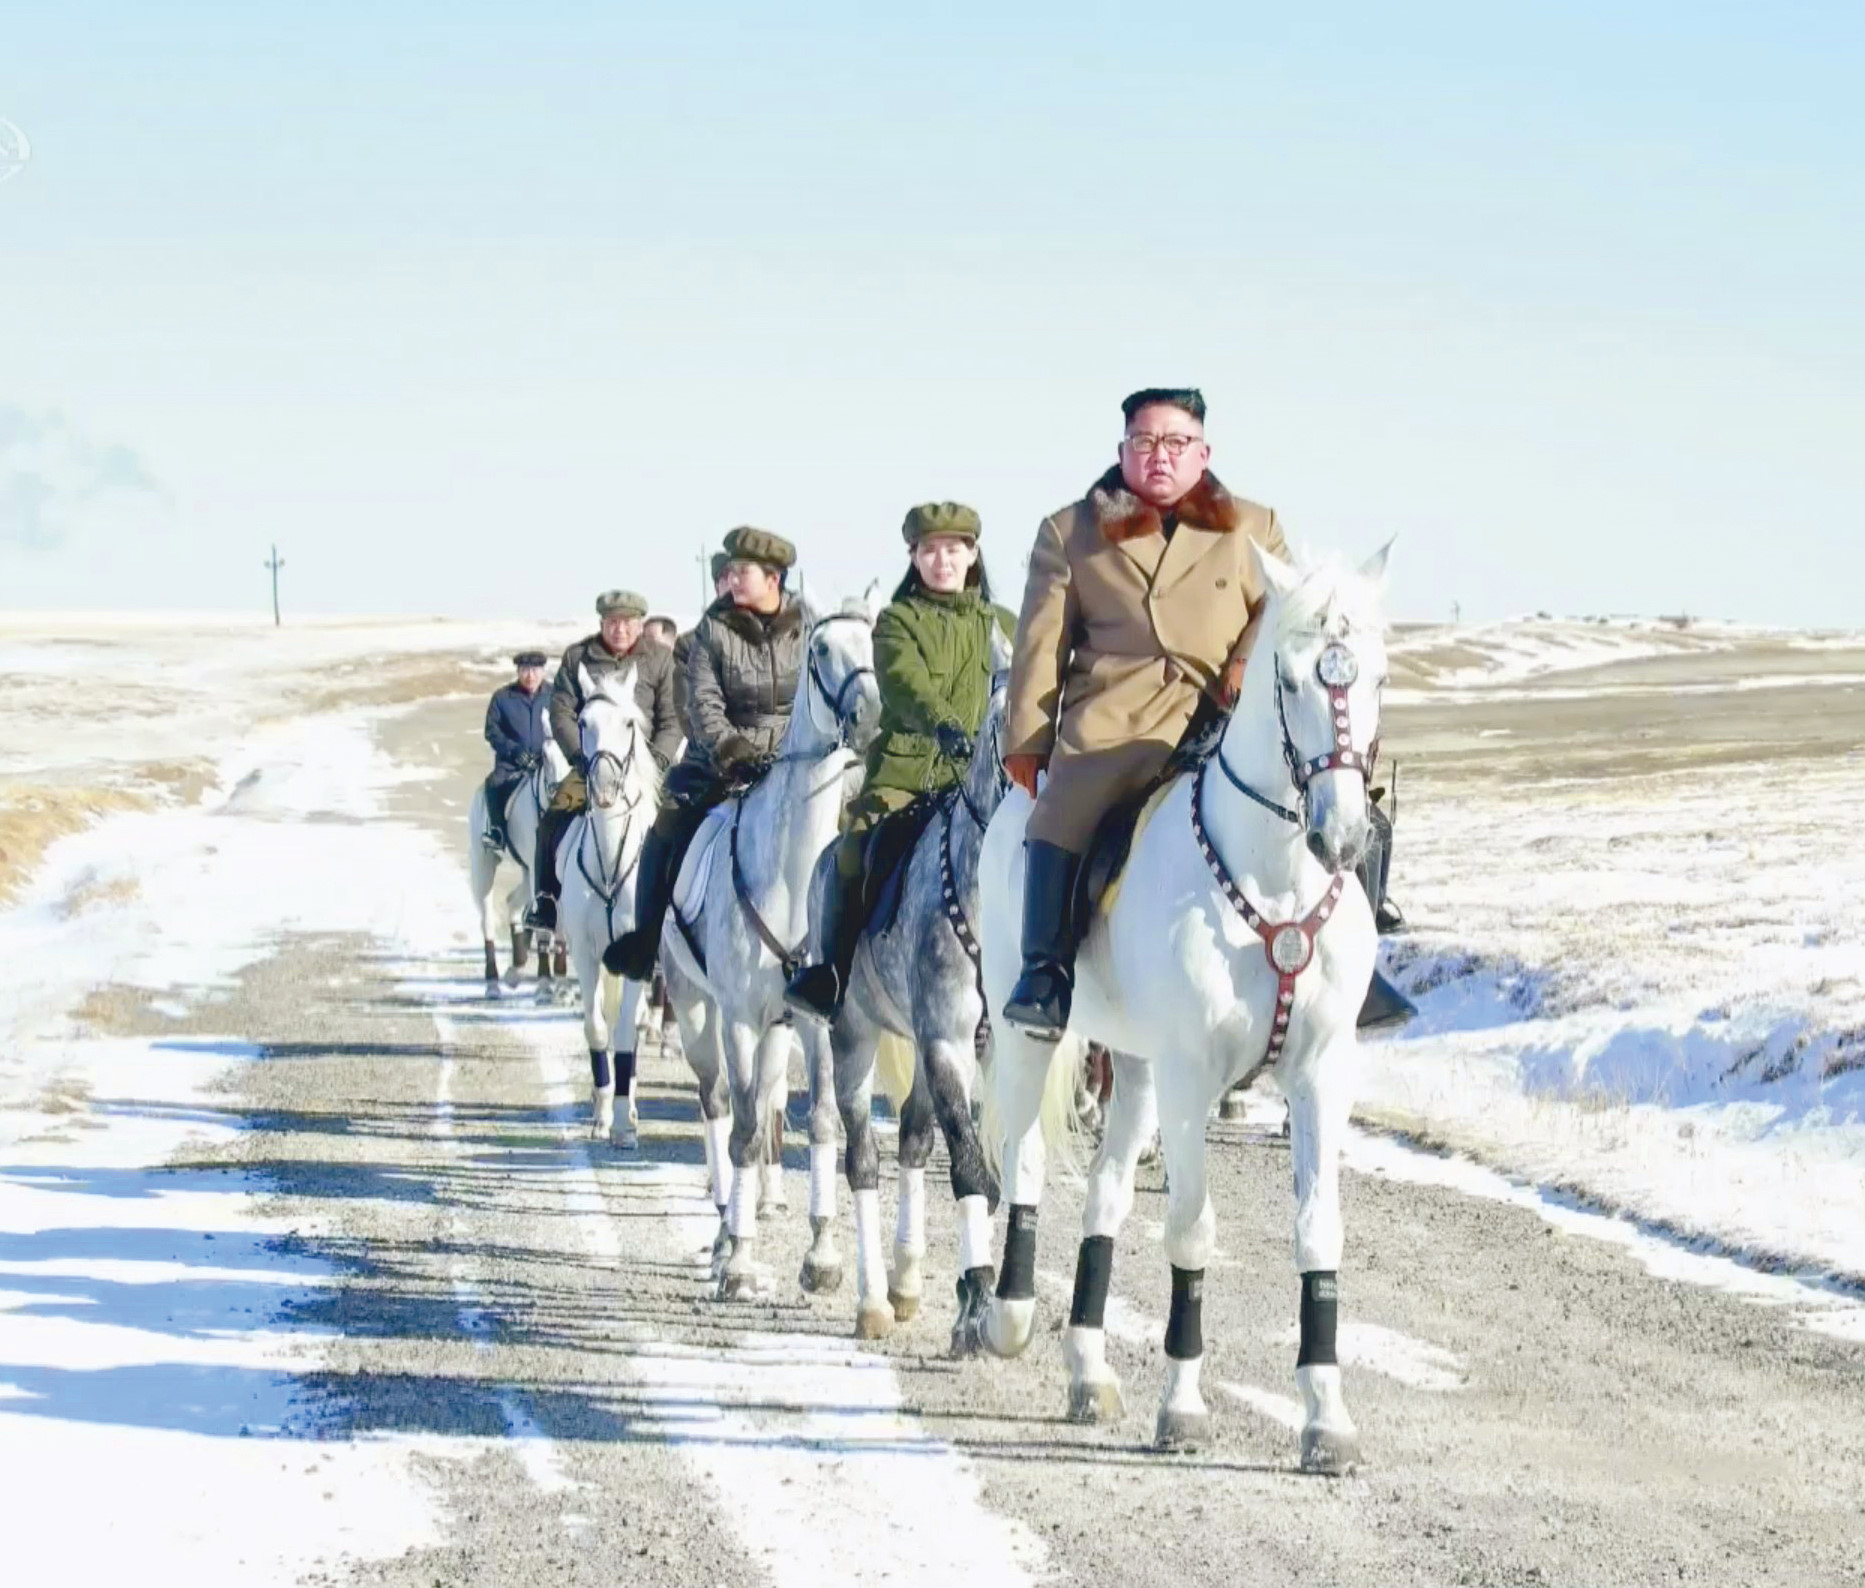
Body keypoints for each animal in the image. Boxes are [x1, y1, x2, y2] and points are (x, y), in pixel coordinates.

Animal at [464, 738, 563, 985]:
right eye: (545, 756)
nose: (556, 791)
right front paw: (545, 975)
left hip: (526, 873)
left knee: (513, 903)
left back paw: (517, 963)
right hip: (483, 865)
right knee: (488, 917)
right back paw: (493, 974)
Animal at [663, 597, 880, 1291]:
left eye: (873, 640)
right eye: (821, 649)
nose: (868, 716)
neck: (789, 875)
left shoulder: (812, 1021)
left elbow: (820, 1124)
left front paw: (823, 1253)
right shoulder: (736, 1019)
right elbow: (742, 1130)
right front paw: (738, 1258)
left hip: (776, 1028)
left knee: (764, 1108)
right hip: (698, 1011)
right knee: (719, 1106)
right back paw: (721, 1231)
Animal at [984, 544, 1395, 1477]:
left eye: (1377, 676)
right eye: (1290, 680)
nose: (1343, 837)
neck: (1277, 879)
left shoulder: (1319, 1076)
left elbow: (1318, 1232)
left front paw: (1326, 1417)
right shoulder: (1187, 1077)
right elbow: (1189, 1233)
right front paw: (1182, 1404)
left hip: (1133, 1067)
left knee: (1103, 1201)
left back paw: (1087, 1370)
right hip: (1029, 1030)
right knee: (1021, 1161)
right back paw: (1006, 1313)